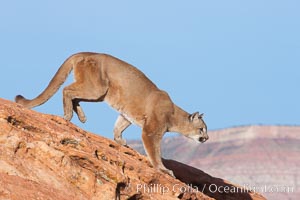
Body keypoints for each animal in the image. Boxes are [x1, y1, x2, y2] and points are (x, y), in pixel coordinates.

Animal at [15, 52, 207, 177]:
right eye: (202, 129)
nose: (206, 138)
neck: (174, 114)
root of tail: (85, 52)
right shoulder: (151, 131)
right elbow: (155, 152)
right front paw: (163, 169)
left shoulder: (126, 114)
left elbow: (118, 127)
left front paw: (120, 141)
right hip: (97, 88)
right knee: (66, 89)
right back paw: (68, 116)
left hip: (99, 93)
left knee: (74, 94)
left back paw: (81, 116)